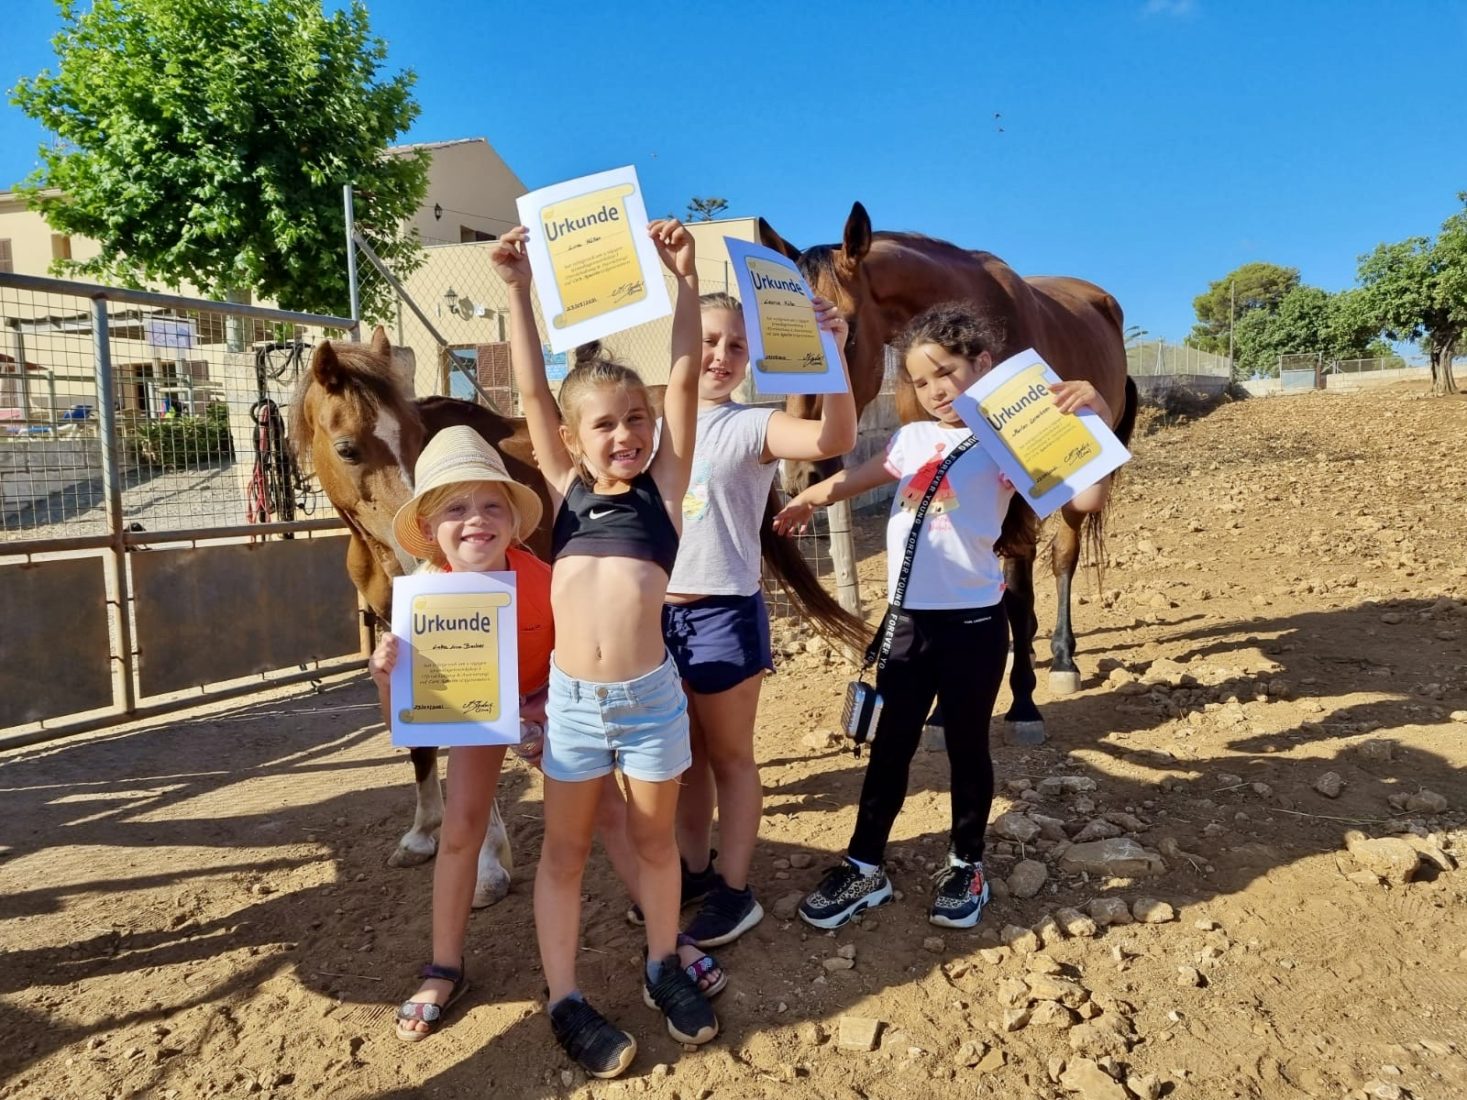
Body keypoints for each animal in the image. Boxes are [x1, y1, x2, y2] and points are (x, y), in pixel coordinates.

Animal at [288, 325, 856, 903]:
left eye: (416, 437)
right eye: (348, 448)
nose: (424, 548)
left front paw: (488, 866)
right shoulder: (393, 626)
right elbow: (422, 745)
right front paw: (423, 832)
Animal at [762, 203, 1138, 745]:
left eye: (845, 329)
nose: (800, 474)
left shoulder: (1019, 497)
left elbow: (1020, 591)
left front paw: (1024, 704)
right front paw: (940, 711)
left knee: (1062, 560)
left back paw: (1063, 657)